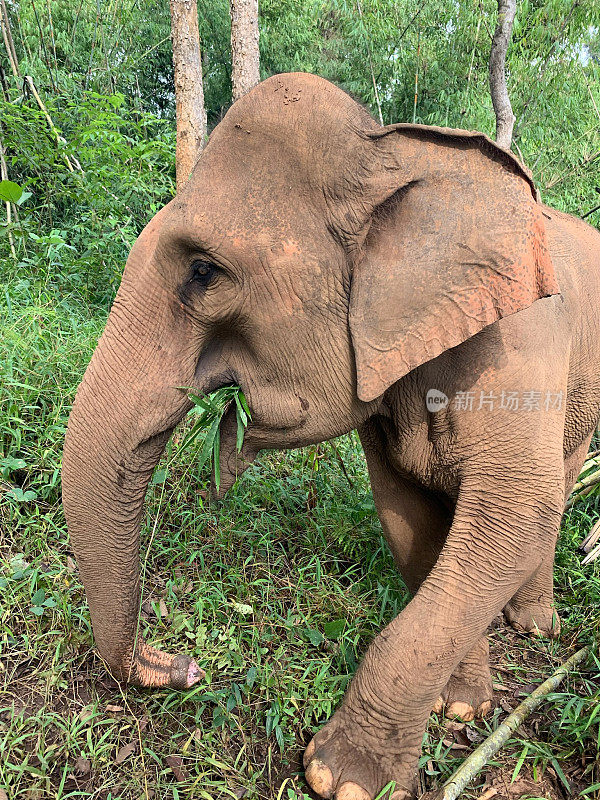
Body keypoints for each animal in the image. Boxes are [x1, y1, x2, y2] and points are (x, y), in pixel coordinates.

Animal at [62, 72, 600, 796]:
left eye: (203, 271)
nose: (180, 666)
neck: (391, 147)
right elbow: (406, 515)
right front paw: (460, 703)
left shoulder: (521, 348)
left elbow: (515, 512)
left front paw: (340, 776)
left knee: (560, 491)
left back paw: (534, 623)